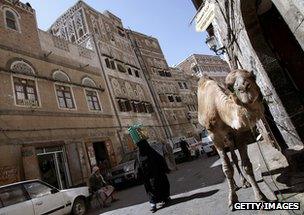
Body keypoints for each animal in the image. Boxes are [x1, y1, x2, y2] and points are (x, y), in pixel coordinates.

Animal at [197, 69, 266, 211]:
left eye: (252, 76)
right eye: (231, 87)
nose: (244, 88)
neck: (218, 108)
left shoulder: (237, 133)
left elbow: (246, 165)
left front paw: (260, 197)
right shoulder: (214, 136)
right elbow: (226, 168)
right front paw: (232, 200)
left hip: (229, 137)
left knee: (234, 158)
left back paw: (244, 182)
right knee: (227, 163)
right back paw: (234, 185)